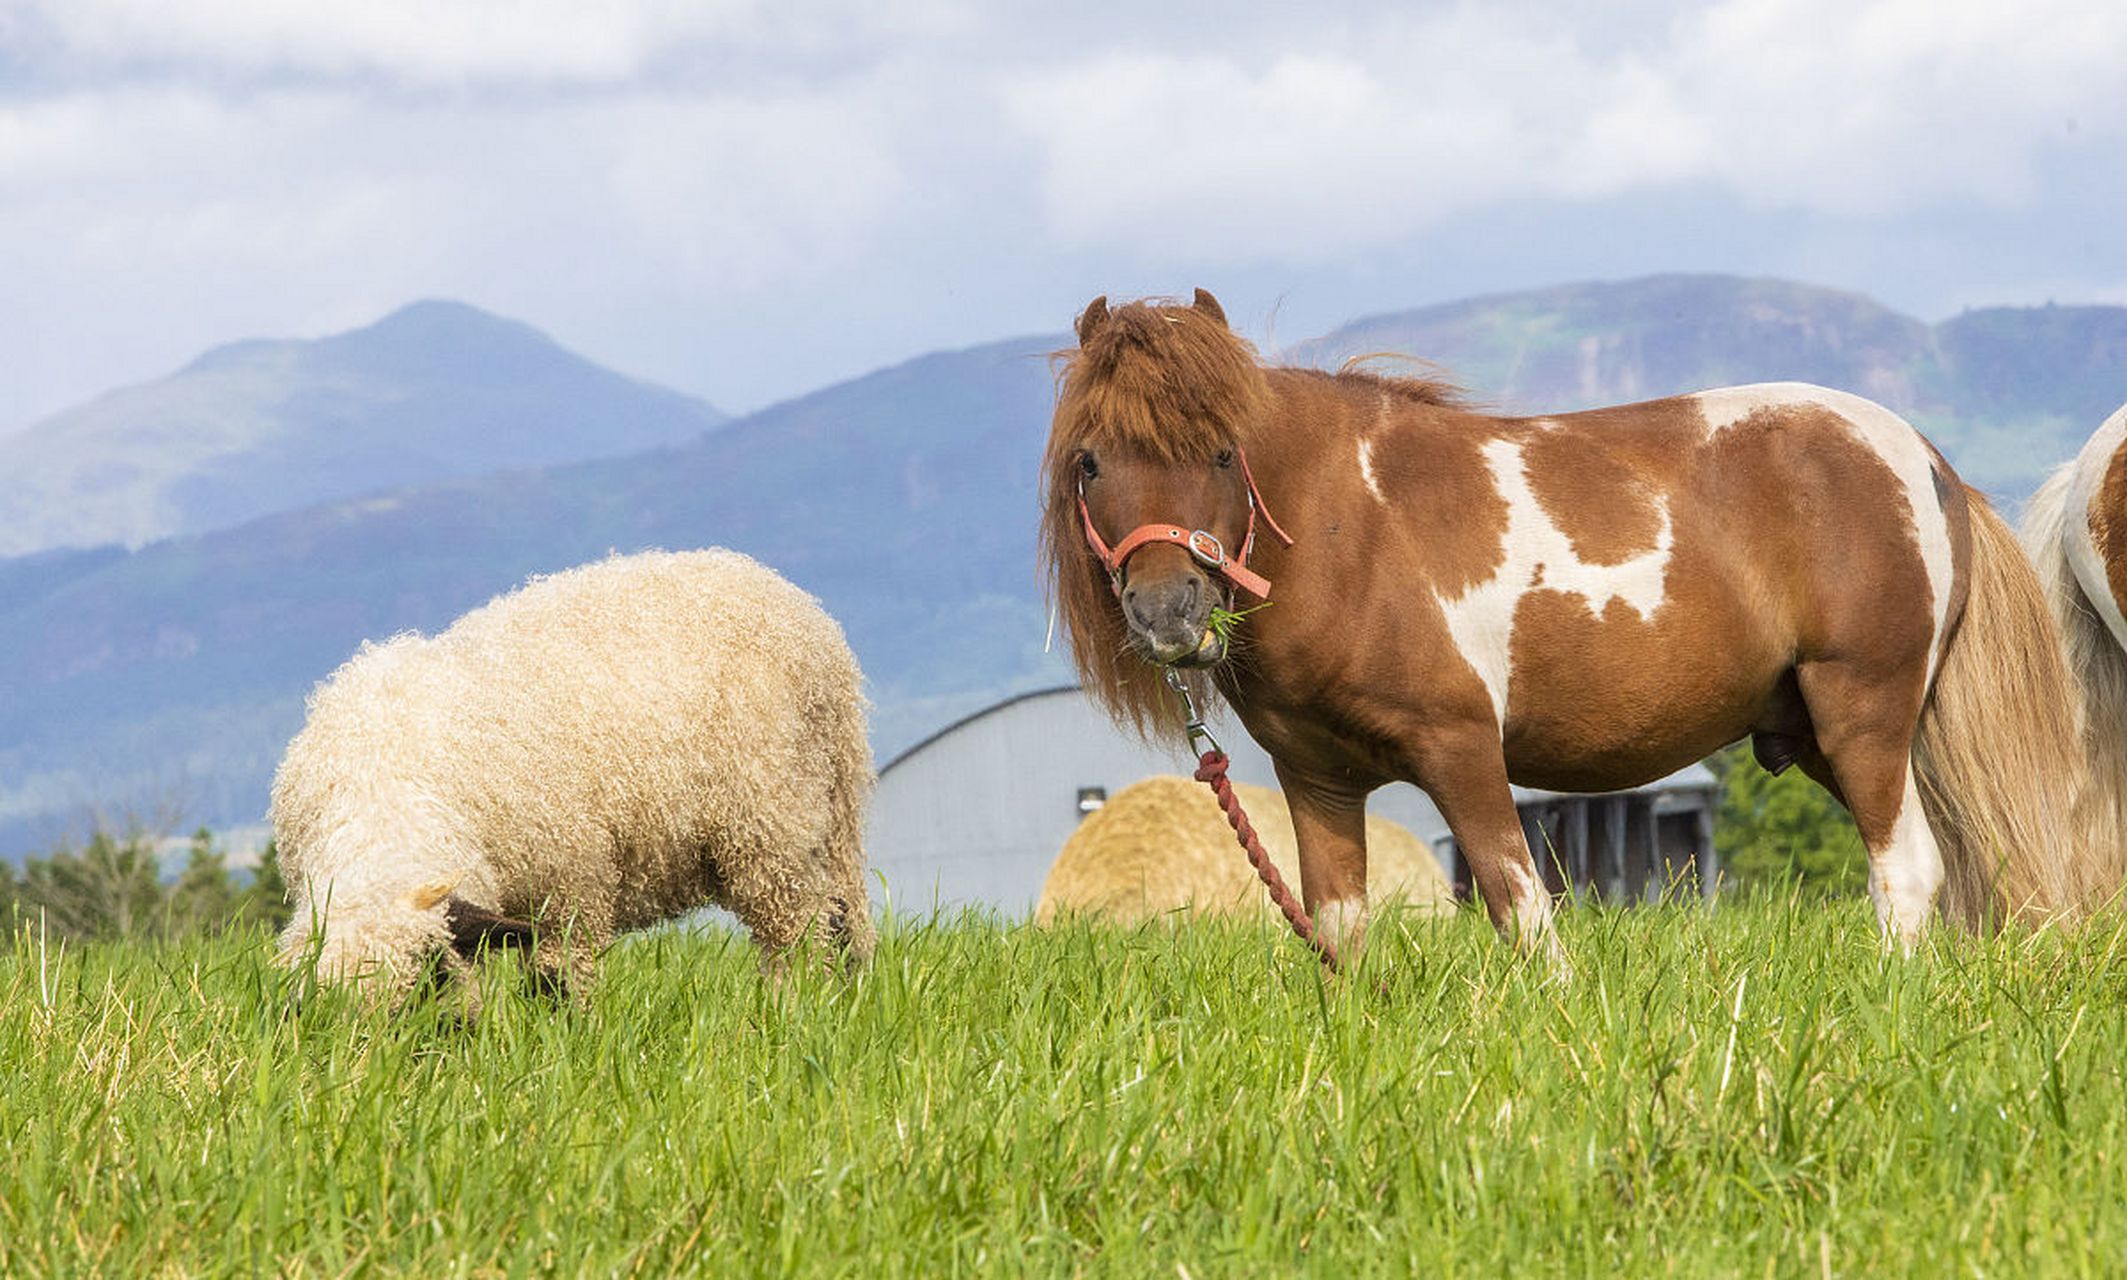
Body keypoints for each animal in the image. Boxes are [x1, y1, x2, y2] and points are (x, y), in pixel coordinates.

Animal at [1041, 289, 2117, 960]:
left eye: (1223, 451)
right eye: (1090, 459)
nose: (1168, 610)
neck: (1350, 529)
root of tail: (1927, 462)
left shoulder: (1463, 749)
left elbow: (1520, 910)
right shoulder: (1319, 782)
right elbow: (1341, 935)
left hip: (1863, 715)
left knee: (1908, 872)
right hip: (1823, 733)